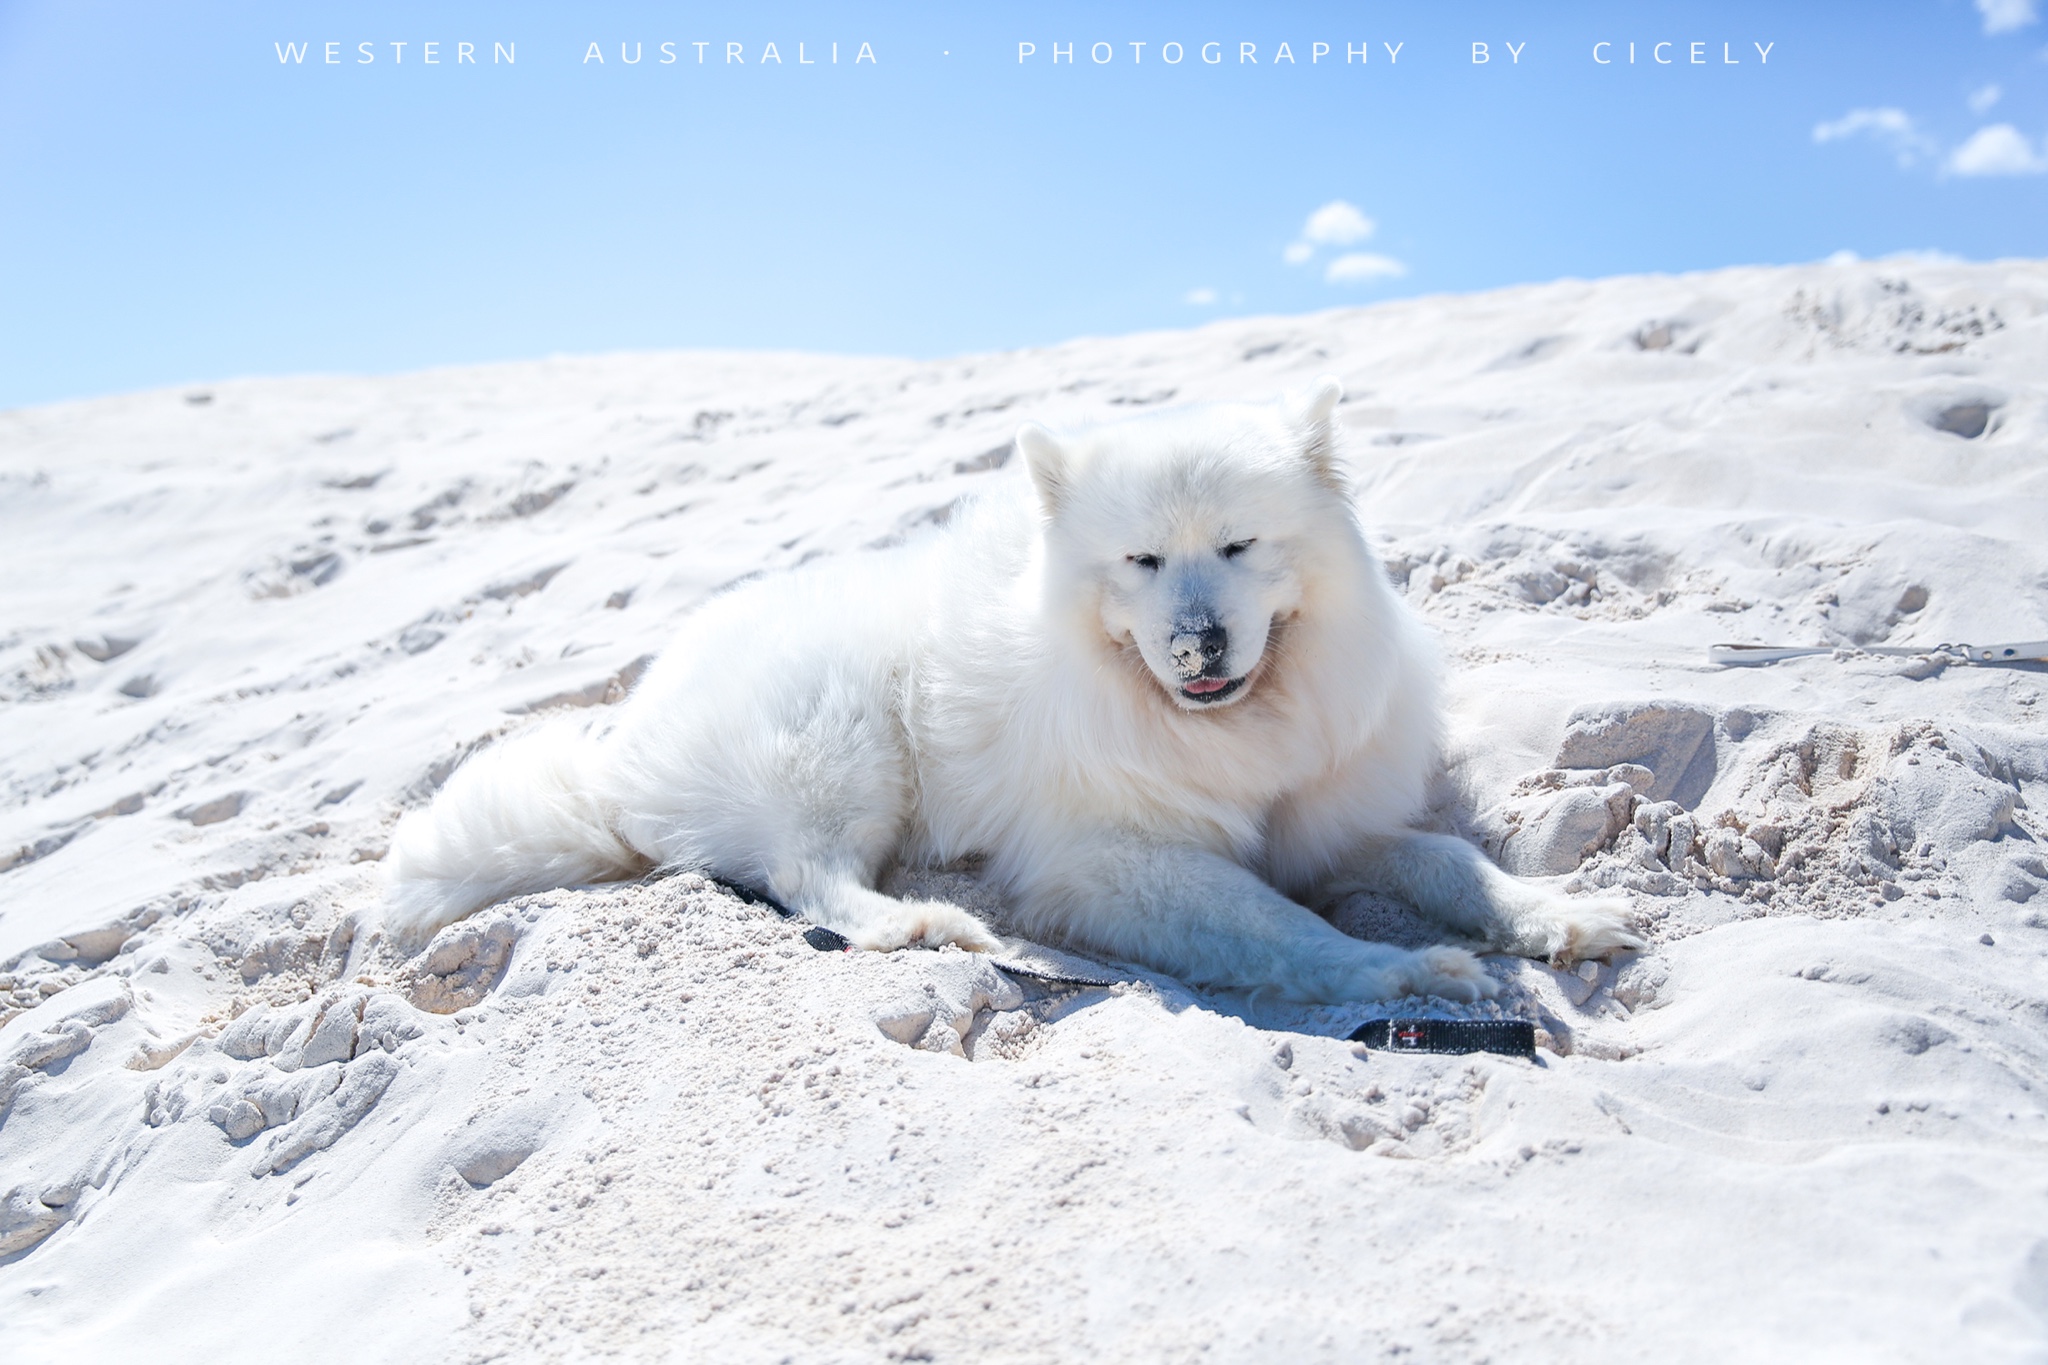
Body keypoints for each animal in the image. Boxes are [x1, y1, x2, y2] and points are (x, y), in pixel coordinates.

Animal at [387, 378, 1646, 998]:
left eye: (1237, 547)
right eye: (1142, 560)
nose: (1197, 643)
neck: (1228, 729)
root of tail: (620, 758)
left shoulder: (1325, 820)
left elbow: (1442, 861)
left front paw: (1550, 916)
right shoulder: (1109, 861)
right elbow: (1280, 927)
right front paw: (1399, 971)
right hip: (849, 750)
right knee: (805, 874)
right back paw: (918, 922)